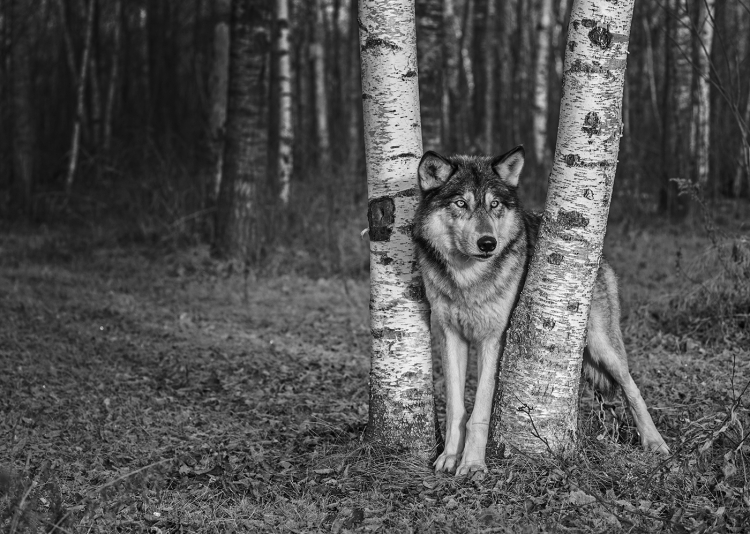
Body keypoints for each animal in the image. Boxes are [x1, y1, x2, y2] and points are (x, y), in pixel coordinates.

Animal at [413, 146, 669, 477]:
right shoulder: (450, 336)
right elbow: (457, 408)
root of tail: (601, 259)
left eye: (494, 204)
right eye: (461, 203)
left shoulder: (495, 340)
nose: (488, 243)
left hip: (603, 347)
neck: (467, 278)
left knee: (632, 388)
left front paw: (472, 464)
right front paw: (449, 457)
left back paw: (655, 443)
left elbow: (479, 409)